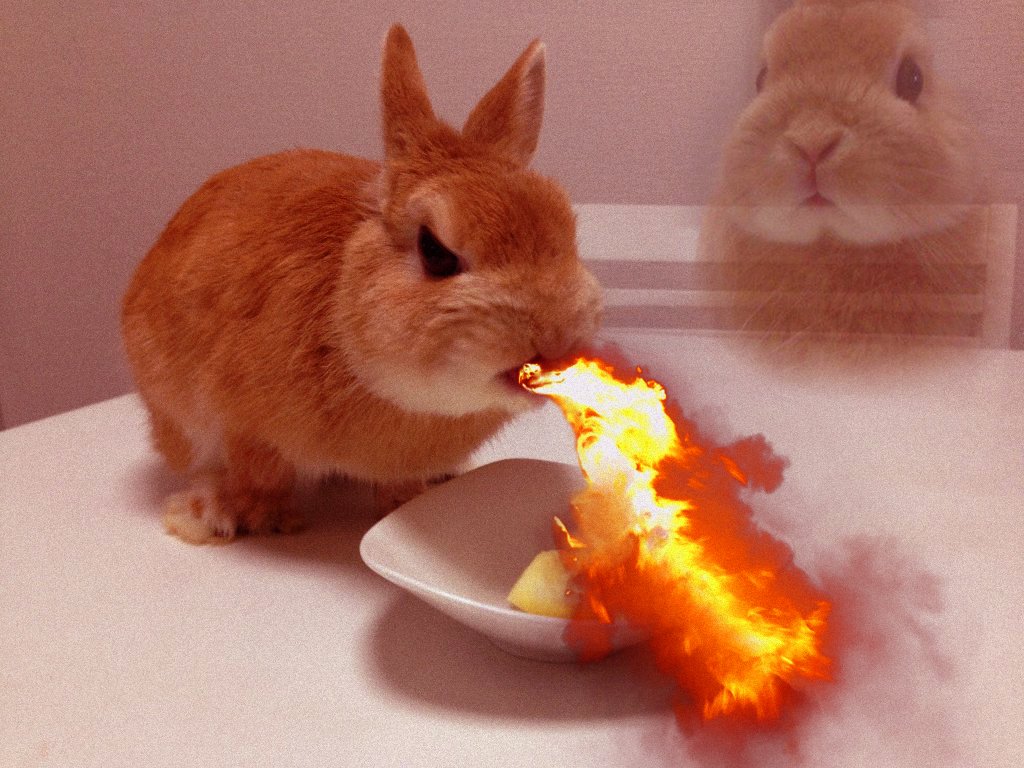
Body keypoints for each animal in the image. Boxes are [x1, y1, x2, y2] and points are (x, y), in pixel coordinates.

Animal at [121, 24, 602, 544]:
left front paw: (407, 499)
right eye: (435, 252)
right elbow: (260, 471)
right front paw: (246, 517)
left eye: (566, 228)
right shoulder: (241, 422)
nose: (556, 338)